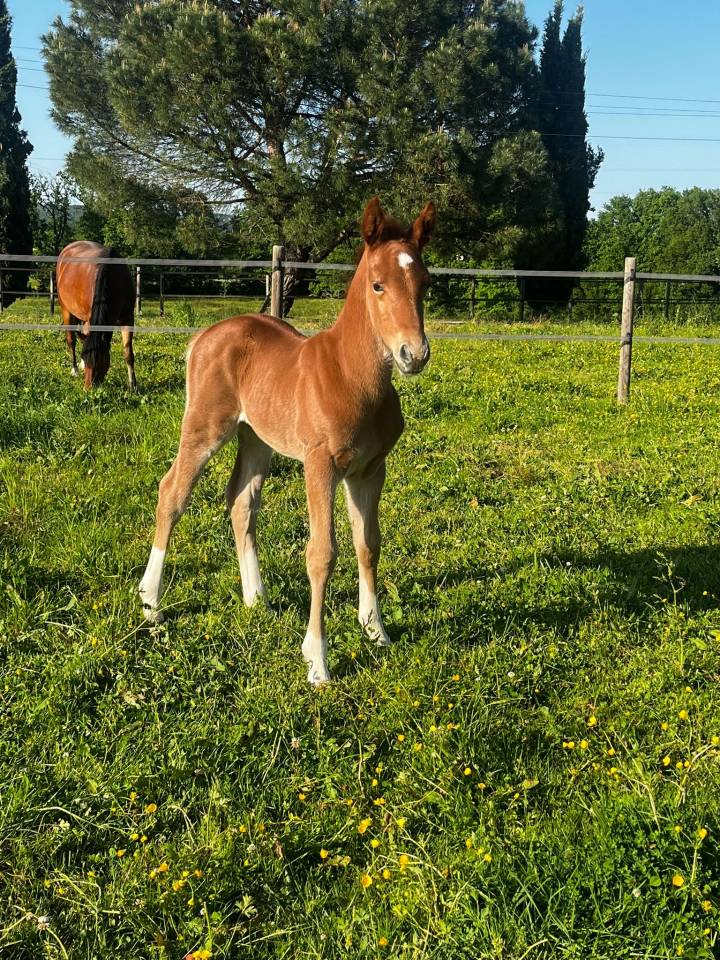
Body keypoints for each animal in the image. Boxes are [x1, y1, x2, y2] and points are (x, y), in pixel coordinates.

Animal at [56, 241, 137, 390]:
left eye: (99, 360)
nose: (87, 388)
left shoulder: (128, 318)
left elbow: (128, 352)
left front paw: (133, 385)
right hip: (66, 310)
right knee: (71, 339)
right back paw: (75, 370)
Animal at [139, 197, 435, 684]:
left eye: (425, 284)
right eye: (377, 285)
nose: (414, 354)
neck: (353, 375)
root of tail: (204, 336)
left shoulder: (370, 469)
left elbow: (368, 544)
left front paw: (376, 631)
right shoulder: (321, 465)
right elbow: (322, 553)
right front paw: (317, 660)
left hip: (256, 438)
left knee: (241, 502)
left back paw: (255, 597)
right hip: (205, 427)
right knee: (172, 493)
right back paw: (151, 603)